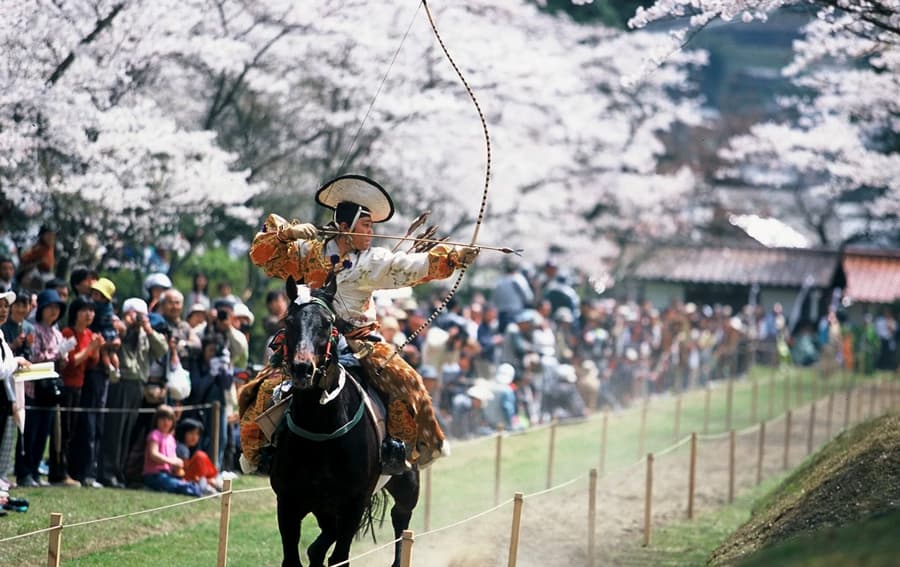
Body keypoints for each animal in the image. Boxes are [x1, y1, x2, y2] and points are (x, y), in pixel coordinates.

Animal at [268, 280, 420, 567]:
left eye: (327, 323)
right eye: (289, 321)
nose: (302, 369)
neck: (321, 429)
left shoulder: (353, 504)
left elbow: (340, 557)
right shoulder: (288, 503)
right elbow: (293, 558)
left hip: (407, 483)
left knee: (401, 518)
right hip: (323, 506)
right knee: (321, 542)